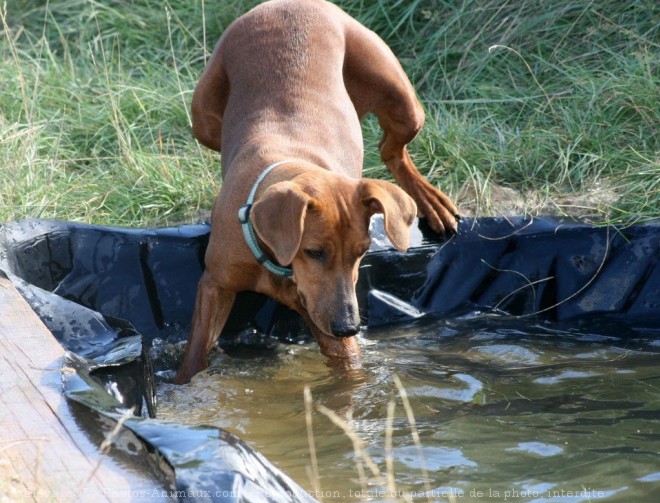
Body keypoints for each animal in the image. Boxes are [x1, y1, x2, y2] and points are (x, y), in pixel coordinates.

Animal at [174, 0, 458, 384]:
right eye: (314, 252)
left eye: (362, 252)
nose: (349, 326)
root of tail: (290, 4)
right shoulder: (214, 286)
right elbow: (193, 359)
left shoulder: (328, 321)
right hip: (202, 116)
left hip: (403, 102)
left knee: (391, 148)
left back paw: (429, 200)